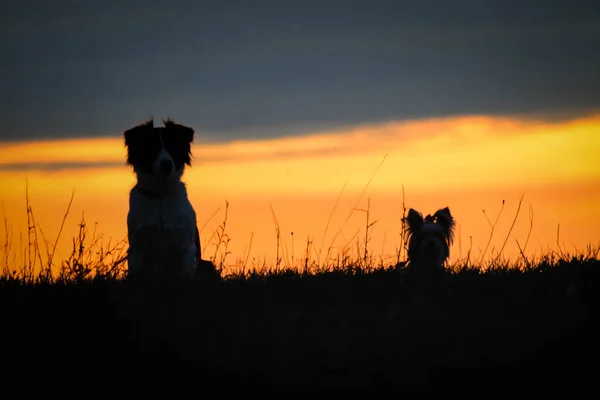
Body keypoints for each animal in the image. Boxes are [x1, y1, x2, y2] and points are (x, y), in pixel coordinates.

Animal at [122, 119, 218, 282]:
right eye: (152, 146)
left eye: (173, 146)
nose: (166, 164)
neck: (160, 194)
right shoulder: (137, 246)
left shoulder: (186, 246)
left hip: (207, 265)